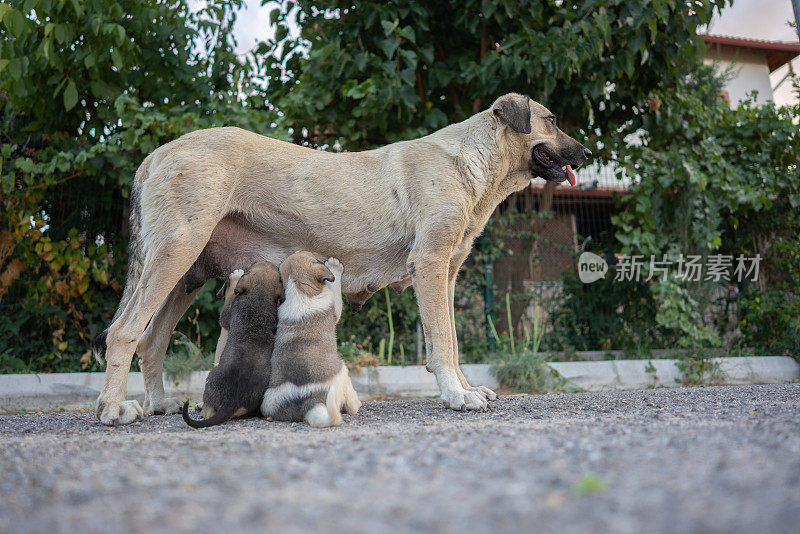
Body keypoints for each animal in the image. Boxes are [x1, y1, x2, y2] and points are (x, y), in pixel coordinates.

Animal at [183, 262, 282, 430]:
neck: (259, 296)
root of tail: (232, 398)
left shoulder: (226, 315)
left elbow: (228, 302)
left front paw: (236, 277)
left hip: (211, 376)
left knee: (208, 412)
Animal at [260, 253, 360, 430]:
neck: (297, 291)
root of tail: (309, 400)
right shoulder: (334, 308)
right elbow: (335, 291)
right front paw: (335, 266)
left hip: (268, 402)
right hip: (342, 372)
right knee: (350, 402)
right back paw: (357, 405)